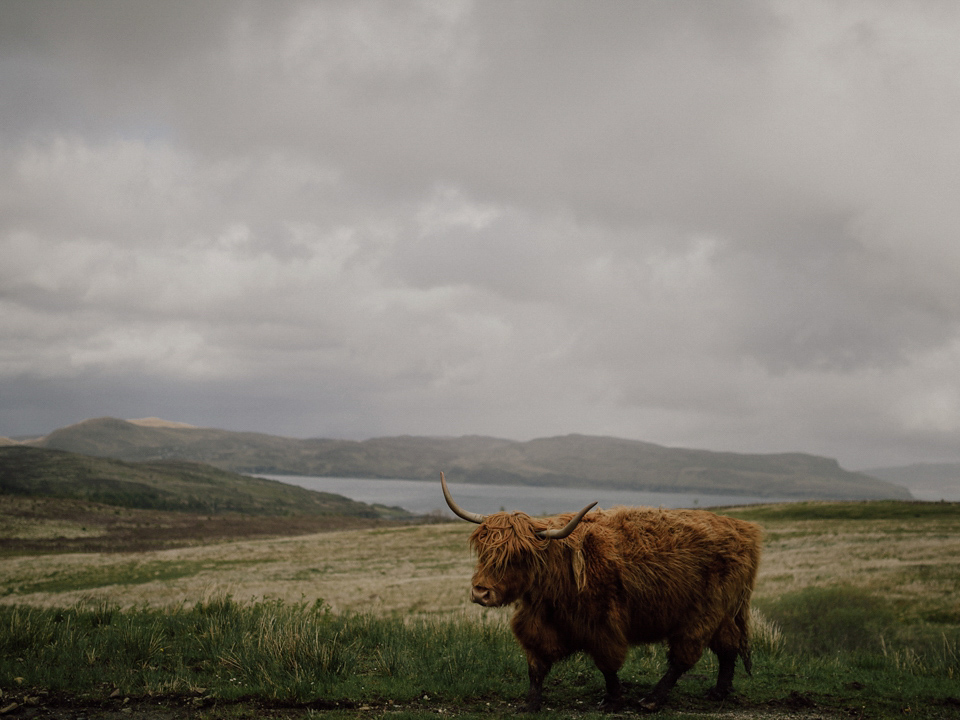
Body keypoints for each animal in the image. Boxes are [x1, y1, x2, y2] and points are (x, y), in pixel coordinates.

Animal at [442, 470, 764, 712]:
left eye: (519, 556)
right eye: (484, 550)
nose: (481, 592)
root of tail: (745, 530)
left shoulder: (603, 625)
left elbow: (608, 664)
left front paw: (612, 700)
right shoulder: (537, 624)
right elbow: (536, 666)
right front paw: (530, 703)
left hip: (704, 612)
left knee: (685, 656)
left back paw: (651, 700)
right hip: (723, 612)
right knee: (728, 646)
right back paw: (719, 692)